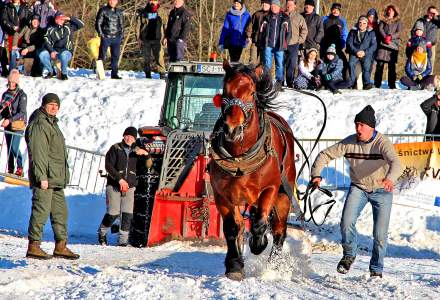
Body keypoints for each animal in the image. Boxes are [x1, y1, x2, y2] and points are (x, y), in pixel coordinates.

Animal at [210, 60, 300, 282]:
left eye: (251, 92)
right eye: (225, 90)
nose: (232, 129)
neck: (240, 158)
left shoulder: (270, 188)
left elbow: (259, 224)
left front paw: (258, 244)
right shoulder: (222, 194)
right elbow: (233, 227)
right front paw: (234, 265)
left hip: (283, 195)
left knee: (279, 230)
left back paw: (274, 265)